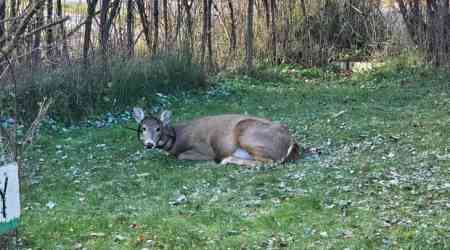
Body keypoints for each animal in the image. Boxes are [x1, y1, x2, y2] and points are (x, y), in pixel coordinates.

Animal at [134, 107, 302, 167]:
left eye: (158, 128)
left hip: (247, 134)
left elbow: (180, 156)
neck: (177, 138)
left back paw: (227, 160)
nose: (149, 144)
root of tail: (291, 141)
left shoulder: (206, 150)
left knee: (269, 162)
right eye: (143, 128)